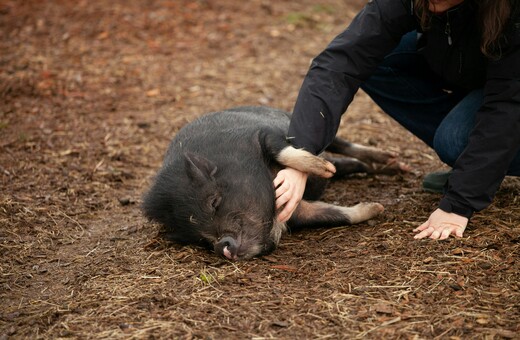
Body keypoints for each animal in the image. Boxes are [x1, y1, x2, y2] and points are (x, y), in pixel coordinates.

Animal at [142, 106, 406, 260]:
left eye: (214, 202)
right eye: (198, 238)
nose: (221, 247)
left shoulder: (265, 134)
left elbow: (283, 151)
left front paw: (322, 170)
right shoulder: (298, 212)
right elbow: (335, 215)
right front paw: (376, 208)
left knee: (343, 144)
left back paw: (393, 163)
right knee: (346, 163)